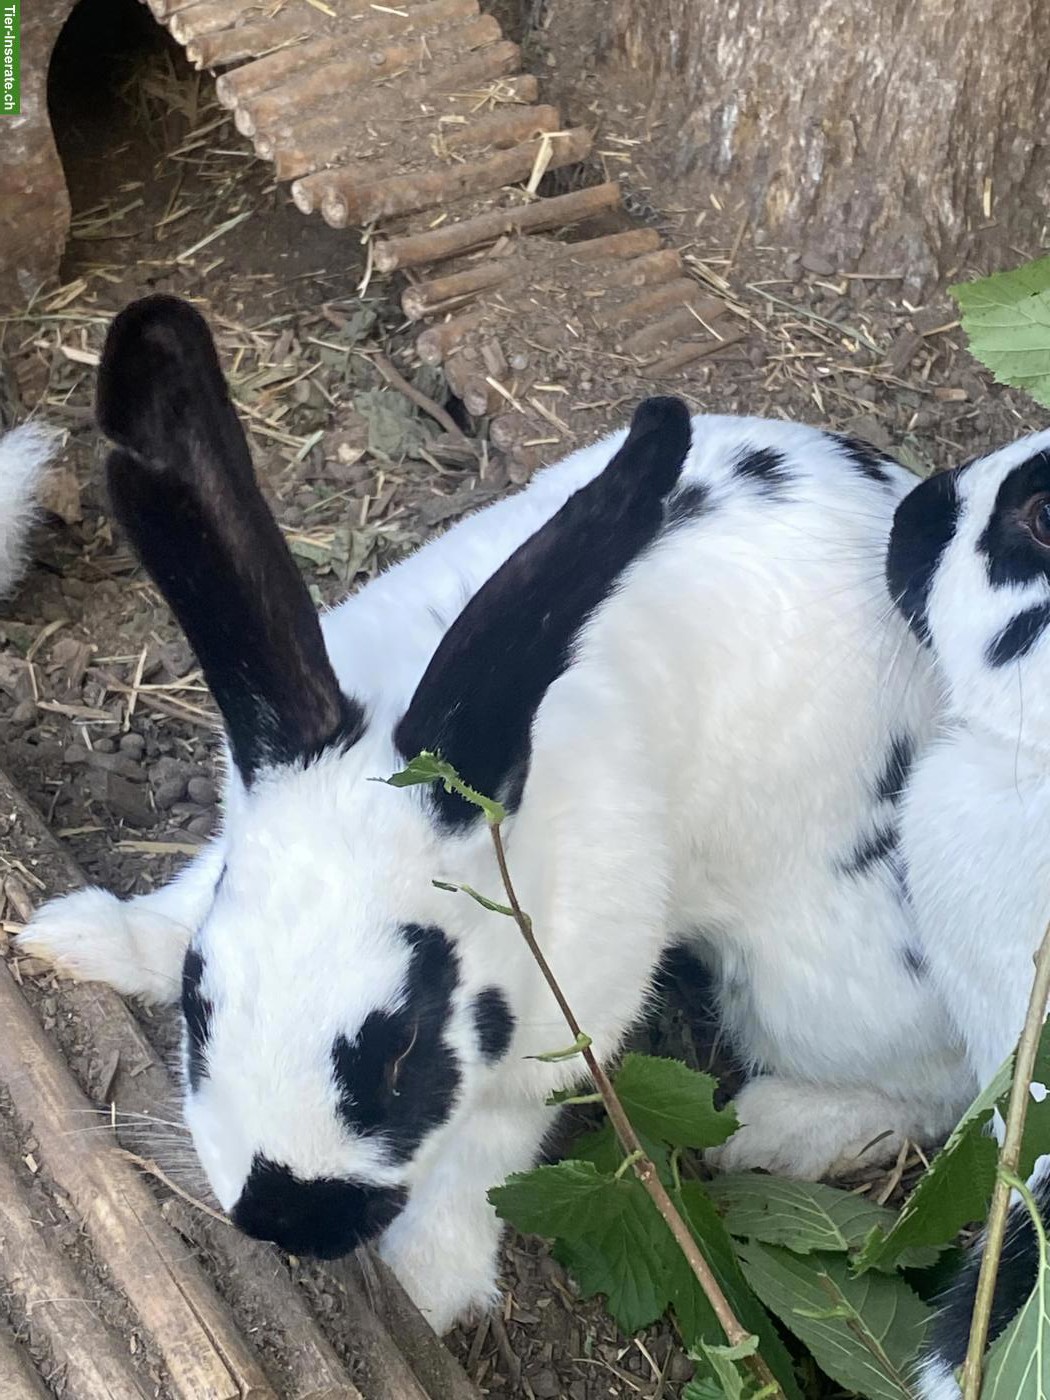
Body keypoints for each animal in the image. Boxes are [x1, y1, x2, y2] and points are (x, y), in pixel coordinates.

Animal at [19, 293, 972, 1335]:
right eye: (200, 1002)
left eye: (401, 1048)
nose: (286, 1220)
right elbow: (178, 904)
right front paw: (75, 942)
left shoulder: (560, 1031)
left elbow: (486, 1152)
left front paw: (429, 1285)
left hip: (823, 977)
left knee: (943, 1081)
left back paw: (777, 1129)